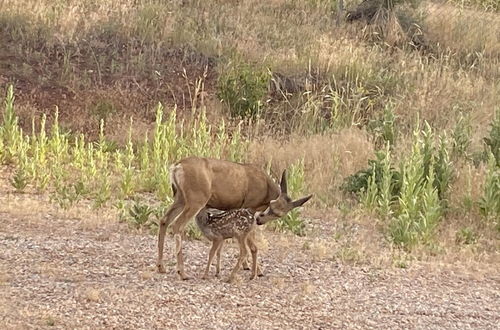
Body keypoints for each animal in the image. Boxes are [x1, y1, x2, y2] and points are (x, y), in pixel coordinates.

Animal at [157, 156, 312, 280]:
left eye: (279, 214)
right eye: (272, 205)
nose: (260, 220)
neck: (266, 190)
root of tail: (177, 167)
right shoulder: (249, 206)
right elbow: (251, 240)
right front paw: (255, 270)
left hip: (180, 197)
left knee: (164, 220)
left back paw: (161, 266)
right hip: (196, 198)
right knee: (178, 225)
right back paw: (182, 272)